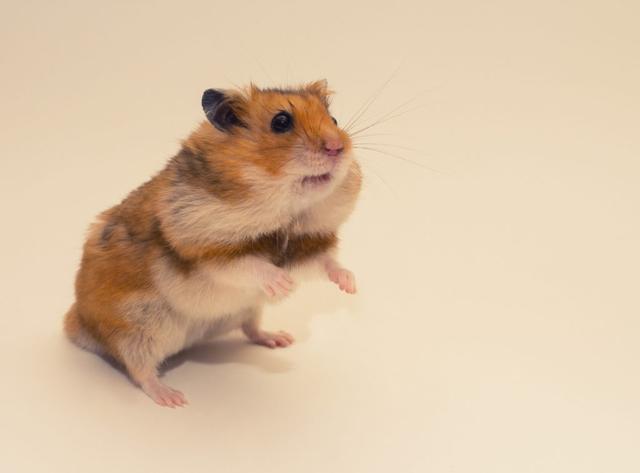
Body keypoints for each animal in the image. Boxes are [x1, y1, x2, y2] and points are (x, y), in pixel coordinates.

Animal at [63, 80, 362, 407]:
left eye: (334, 120)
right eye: (281, 122)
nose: (337, 147)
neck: (285, 213)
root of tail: (77, 322)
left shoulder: (307, 246)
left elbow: (327, 262)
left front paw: (351, 286)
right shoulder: (208, 256)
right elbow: (251, 266)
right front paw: (284, 285)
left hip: (246, 310)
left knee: (251, 329)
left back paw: (280, 338)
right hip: (137, 331)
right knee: (140, 369)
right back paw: (173, 398)